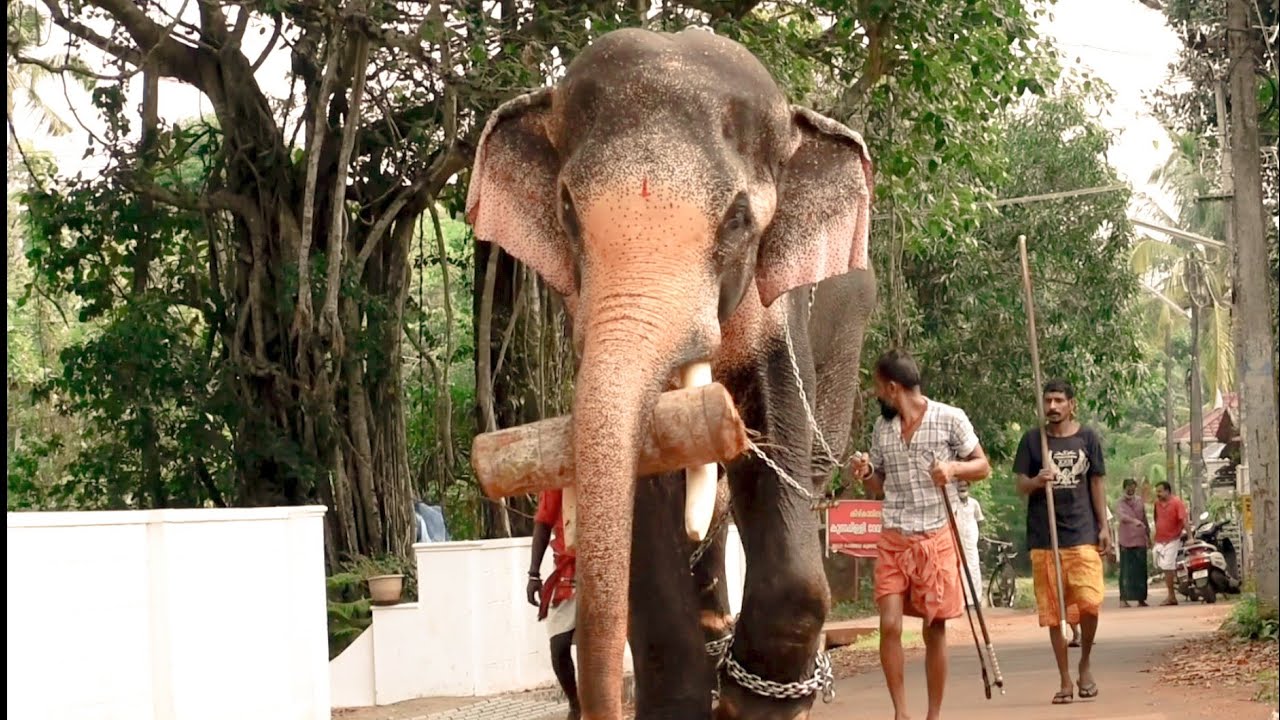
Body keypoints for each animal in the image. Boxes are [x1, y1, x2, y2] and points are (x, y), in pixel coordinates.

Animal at [466, 27, 877, 720]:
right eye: (567, 209)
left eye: (739, 219)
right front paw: (695, 692)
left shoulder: (779, 315)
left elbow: (777, 464)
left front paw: (750, 700)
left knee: (807, 471)